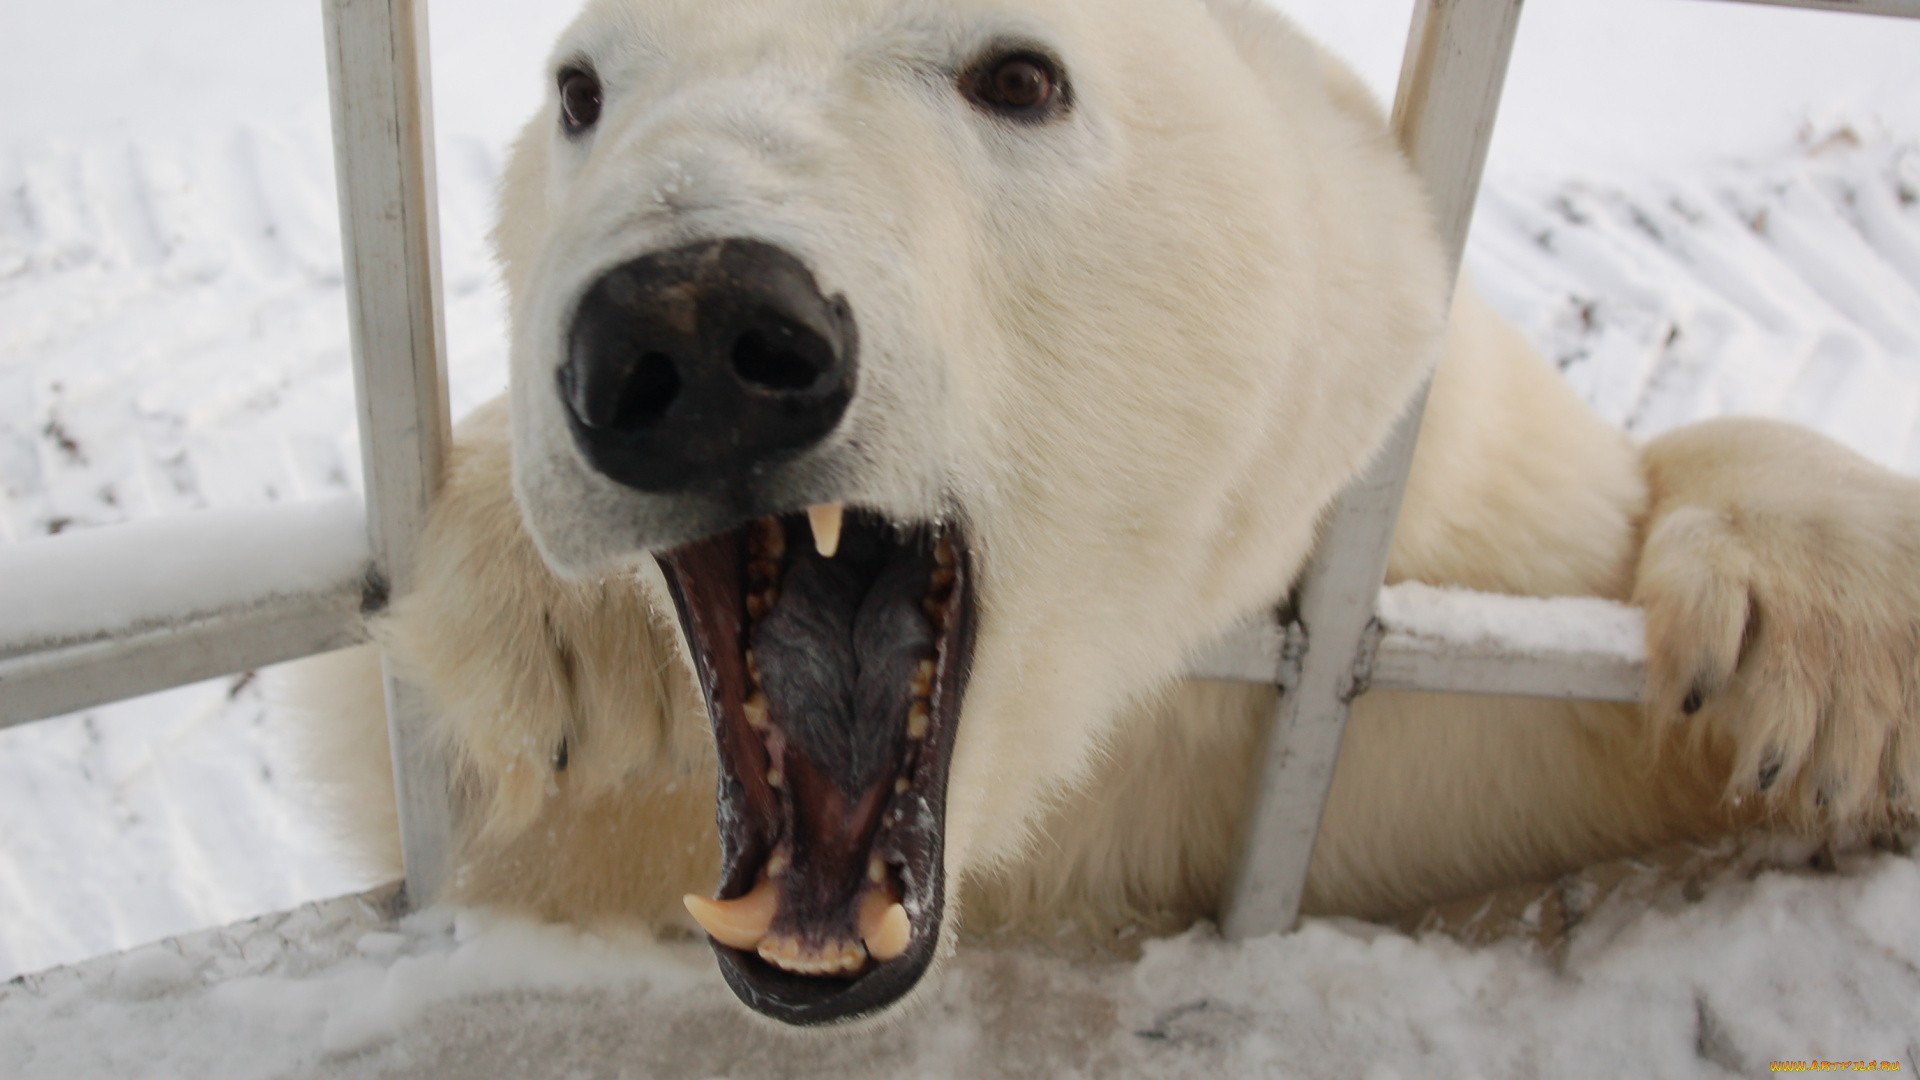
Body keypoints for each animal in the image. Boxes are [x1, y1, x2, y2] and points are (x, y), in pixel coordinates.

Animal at [296, 0, 1920, 1026]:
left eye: (1020, 75)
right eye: (581, 91)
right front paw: (547, 628)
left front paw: (1831, 649)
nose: (692, 332)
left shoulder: (1453, 667)